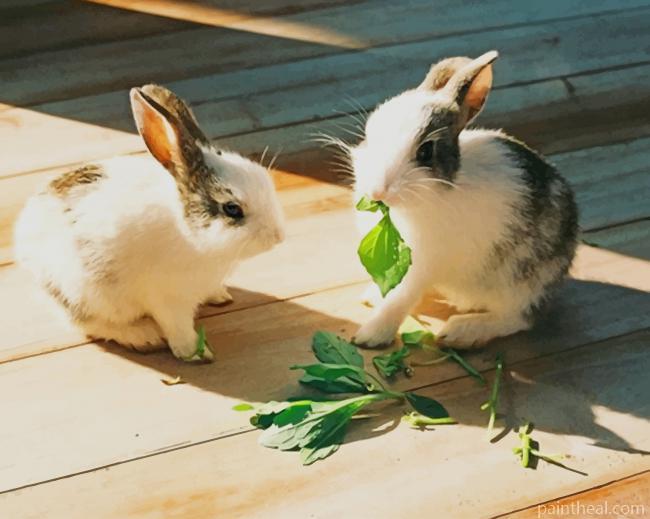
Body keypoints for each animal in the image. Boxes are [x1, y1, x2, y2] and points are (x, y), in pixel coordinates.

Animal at [14, 84, 285, 361]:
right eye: (232, 209)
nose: (278, 236)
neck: (191, 237)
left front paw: (219, 296)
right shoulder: (168, 300)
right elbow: (179, 329)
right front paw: (196, 354)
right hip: (84, 295)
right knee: (89, 324)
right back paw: (143, 336)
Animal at [349, 51, 578, 348]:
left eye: (425, 152)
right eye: (369, 133)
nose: (376, 191)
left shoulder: (421, 266)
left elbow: (400, 300)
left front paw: (369, 336)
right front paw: (372, 298)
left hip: (521, 282)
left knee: (518, 318)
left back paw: (461, 332)